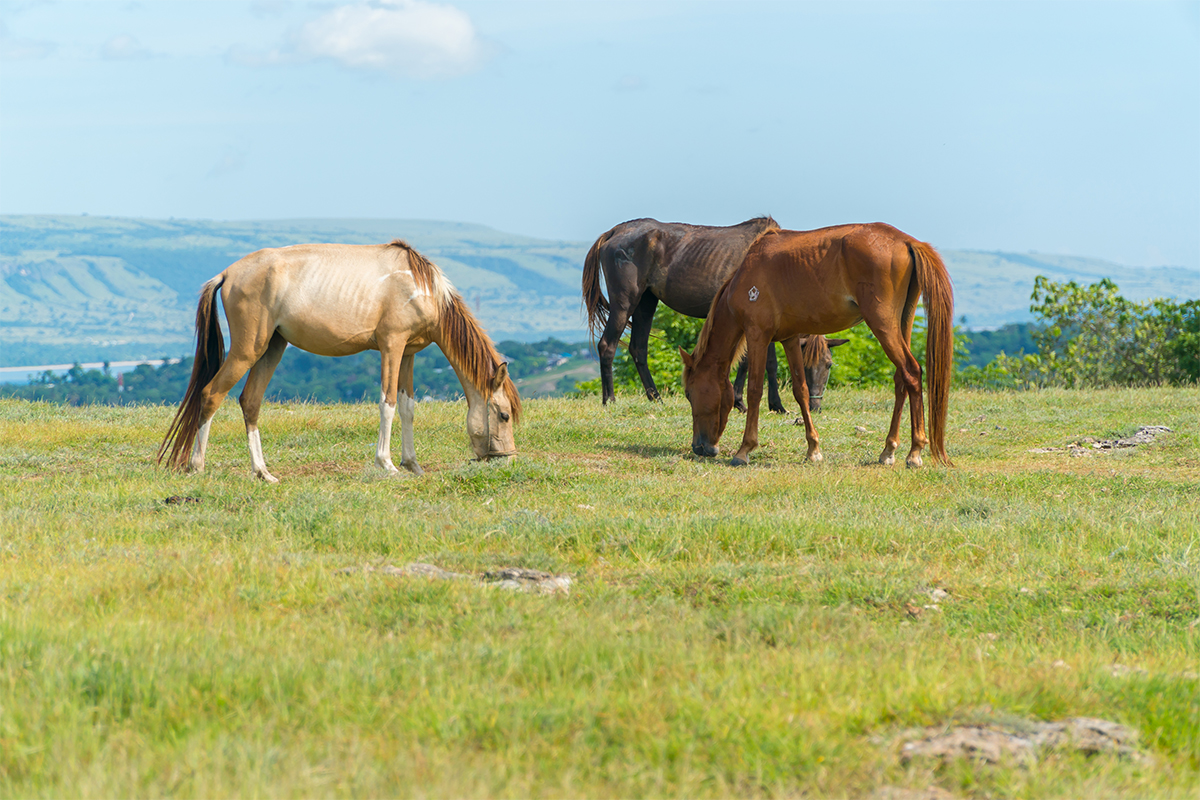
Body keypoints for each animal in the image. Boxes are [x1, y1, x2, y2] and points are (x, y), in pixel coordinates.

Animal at [157, 239, 518, 482]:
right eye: (503, 415)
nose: (507, 458)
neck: (420, 285)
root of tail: (227, 274)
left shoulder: (408, 353)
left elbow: (407, 407)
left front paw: (413, 464)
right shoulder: (392, 346)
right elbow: (387, 403)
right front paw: (387, 464)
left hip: (272, 347)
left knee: (250, 401)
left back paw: (263, 472)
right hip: (249, 349)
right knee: (211, 394)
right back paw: (197, 466)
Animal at [580, 217, 796, 410]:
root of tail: (614, 232)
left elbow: (765, 362)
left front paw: (766, 404)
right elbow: (753, 362)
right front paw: (749, 402)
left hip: (645, 303)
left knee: (638, 349)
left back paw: (656, 399)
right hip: (624, 304)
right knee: (607, 346)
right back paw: (610, 400)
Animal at [681, 221, 950, 470]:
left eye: (689, 394)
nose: (699, 447)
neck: (748, 273)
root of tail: (906, 241)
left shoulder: (758, 336)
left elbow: (754, 390)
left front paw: (744, 449)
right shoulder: (789, 340)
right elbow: (800, 390)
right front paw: (813, 449)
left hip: (882, 323)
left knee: (911, 372)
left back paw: (915, 452)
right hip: (902, 322)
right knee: (900, 378)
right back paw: (888, 450)